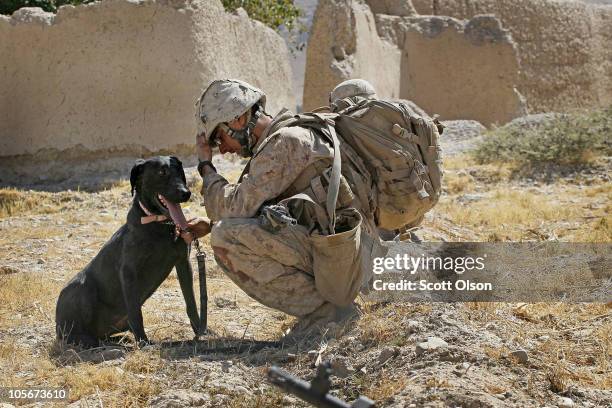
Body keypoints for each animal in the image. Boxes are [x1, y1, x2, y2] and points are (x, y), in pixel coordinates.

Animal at [56, 156, 202, 348]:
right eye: (162, 172)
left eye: (179, 170)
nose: (186, 193)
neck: (159, 224)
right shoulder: (128, 272)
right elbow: (135, 312)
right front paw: (143, 342)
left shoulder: (184, 263)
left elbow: (191, 303)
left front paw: (202, 332)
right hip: (80, 289)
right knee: (73, 335)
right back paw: (89, 341)